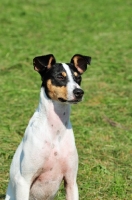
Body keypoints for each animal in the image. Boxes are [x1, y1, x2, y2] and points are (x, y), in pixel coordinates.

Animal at [5, 53, 91, 200]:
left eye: (78, 78)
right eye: (60, 77)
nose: (79, 92)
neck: (55, 131)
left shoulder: (71, 181)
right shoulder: (24, 181)